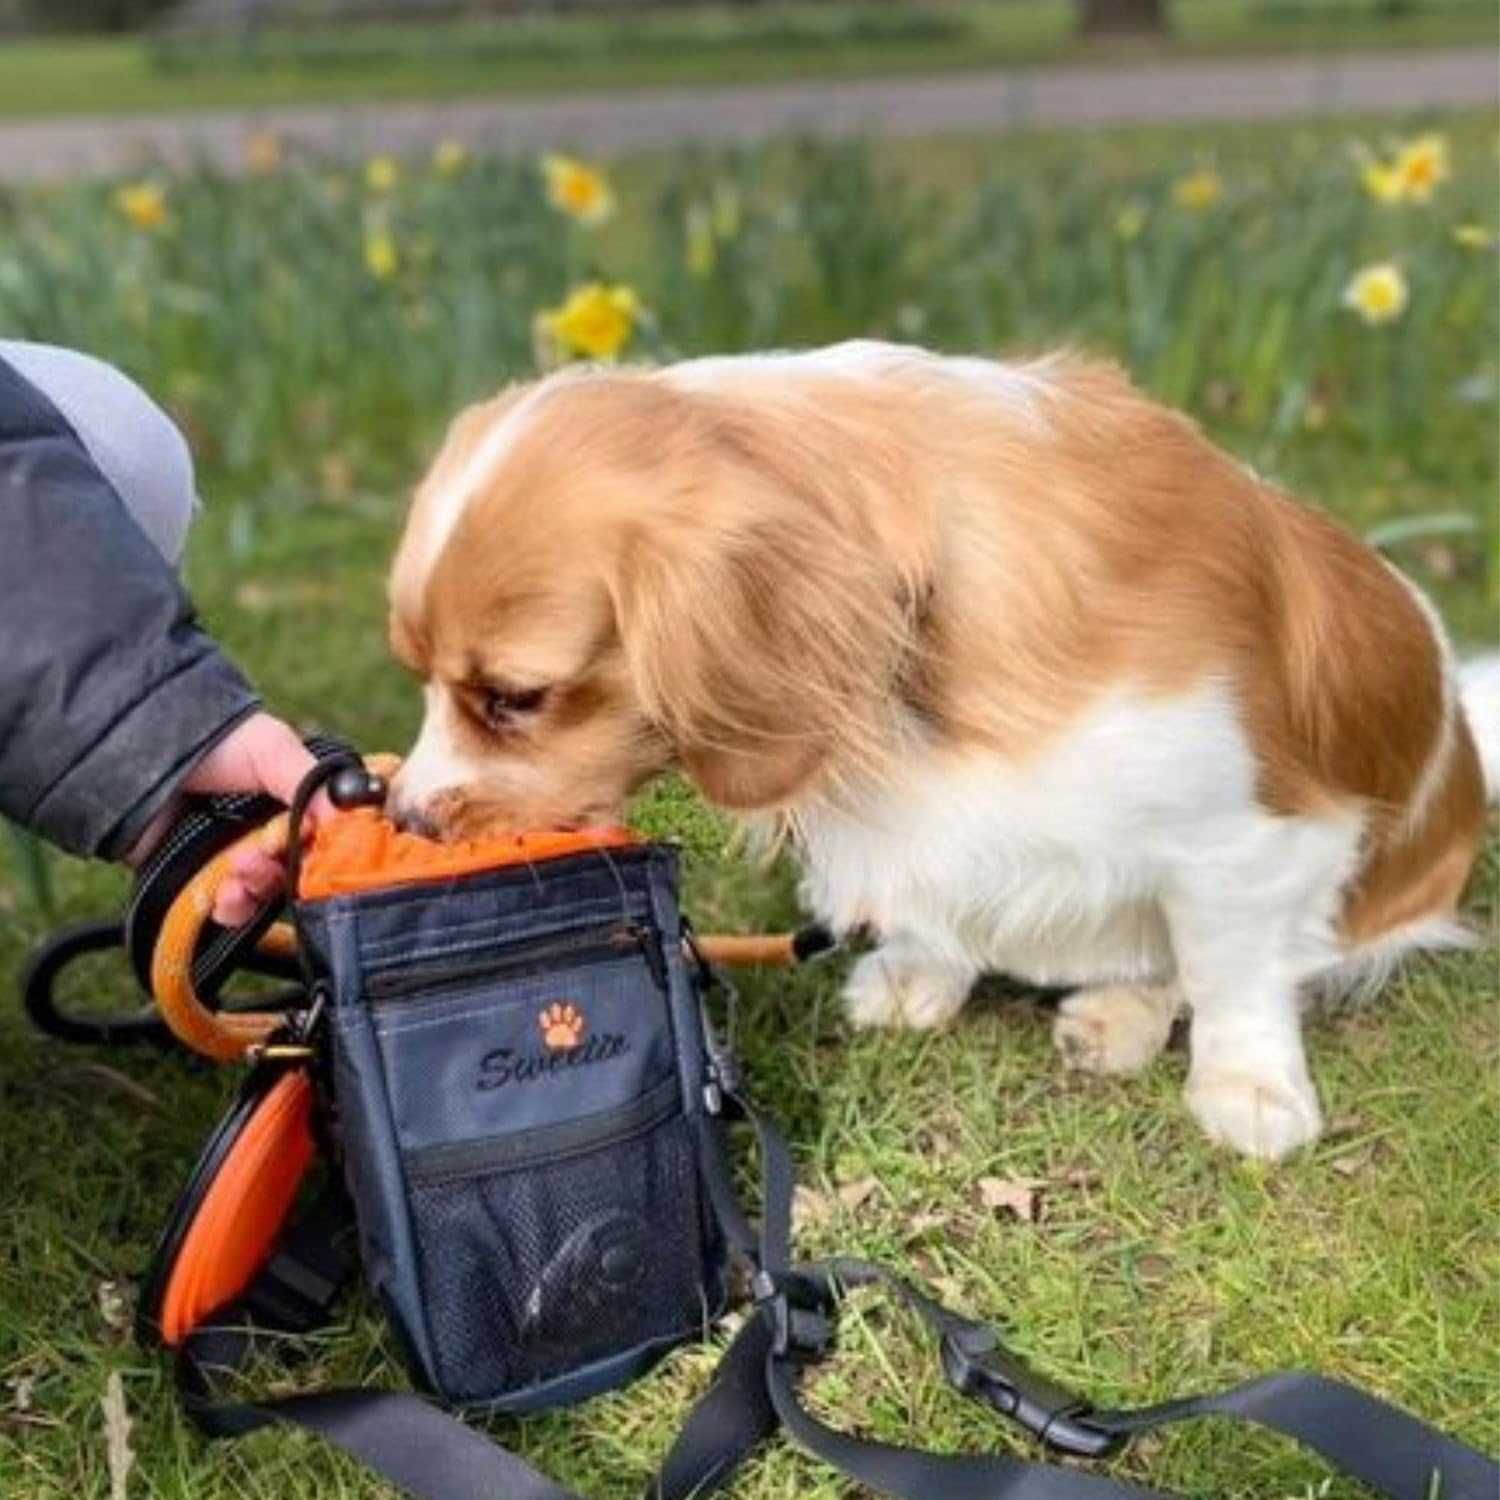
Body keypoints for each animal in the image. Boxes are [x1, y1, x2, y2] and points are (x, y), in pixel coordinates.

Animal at [384, 343, 1488, 1158]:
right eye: (418, 676)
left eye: (514, 698)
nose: (403, 815)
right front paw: (923, 972)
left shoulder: (1256, 836)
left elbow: (1233, 972)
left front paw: (1249, 1083)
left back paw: (1125, 1012)